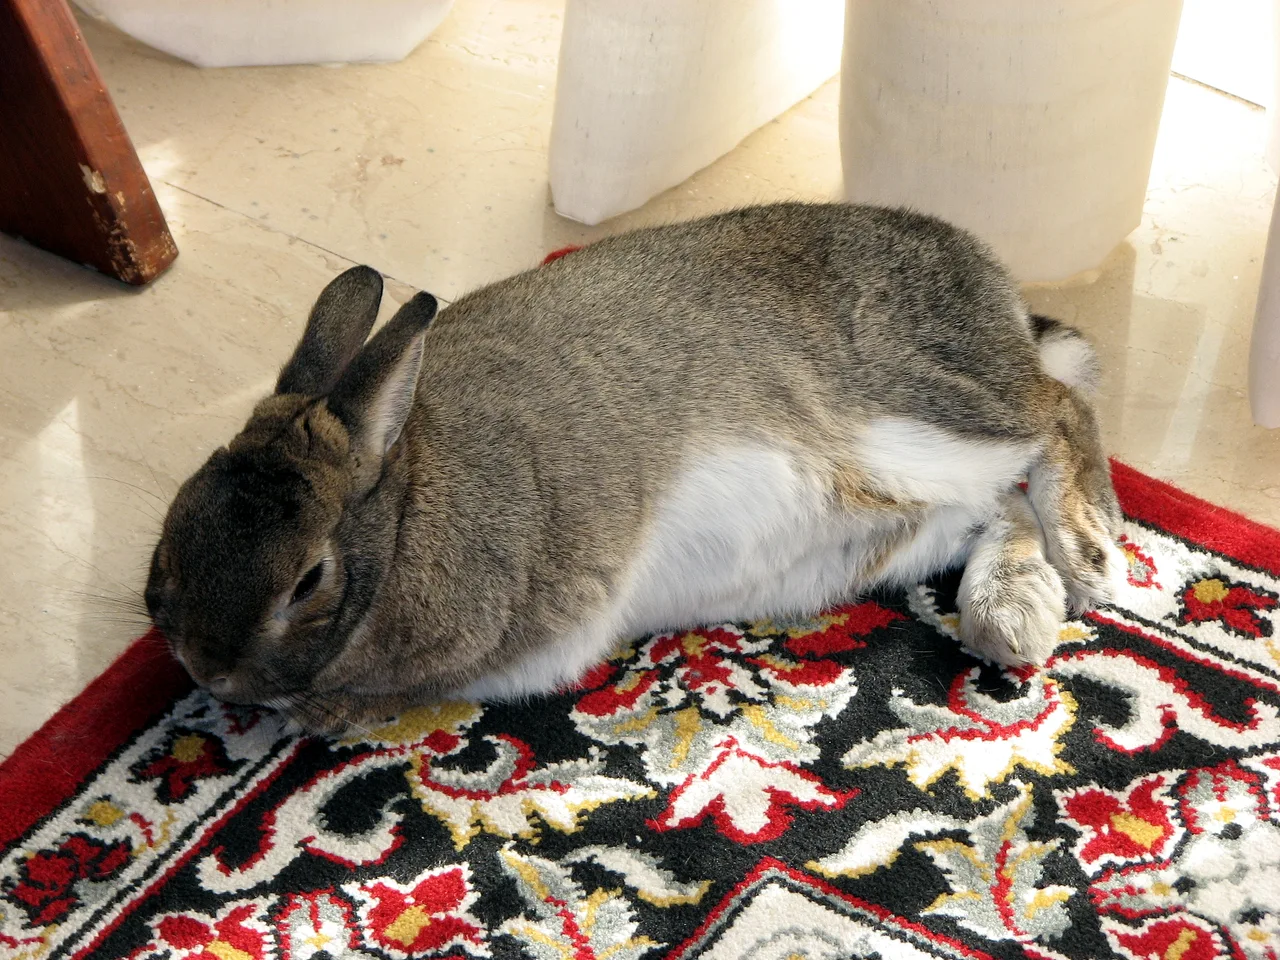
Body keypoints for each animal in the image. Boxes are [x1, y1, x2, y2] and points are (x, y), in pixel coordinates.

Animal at [145, 202, 1123, 734]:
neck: (409, 497)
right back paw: (1014, 616)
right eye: (176, 525)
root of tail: (1000, 296)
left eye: (309, 578)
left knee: (1055, 416)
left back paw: (1091, 557)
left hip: (913, 413)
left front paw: (326, 715)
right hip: (901, 526)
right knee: (1005, 502)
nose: (205, 668)